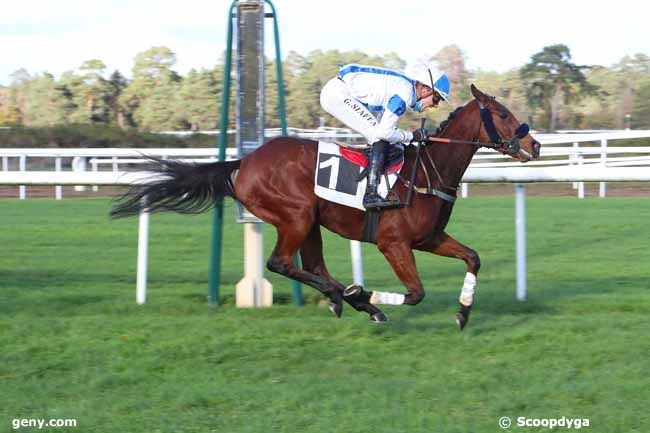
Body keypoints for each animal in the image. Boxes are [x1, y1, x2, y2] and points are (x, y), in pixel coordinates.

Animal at [111, 83, 536, 328]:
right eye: (502, 114)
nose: (534, 145)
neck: (428, 171)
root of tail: (244, 162)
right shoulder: (393, 243)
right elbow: (416, 293)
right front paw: (370, 296)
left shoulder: (429, 238)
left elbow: (473, 258)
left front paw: (463, 313)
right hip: (295, 216)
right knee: (281, 263)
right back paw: (355, 297)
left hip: (311, 220)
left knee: (313, 266)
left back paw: (346, 297)